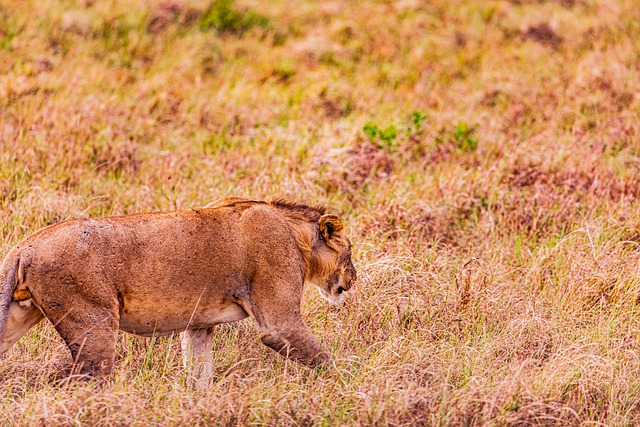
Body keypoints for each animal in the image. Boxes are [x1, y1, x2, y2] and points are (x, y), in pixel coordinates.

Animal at [0, 197, 356, 382]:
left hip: (17, 315)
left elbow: (199, 372)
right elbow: (325, 358)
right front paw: (350, 384)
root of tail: (23, 246)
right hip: (94, 324)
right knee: (88, 381)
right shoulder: (278, 322)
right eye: (350, 252)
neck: (296, 235)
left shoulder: (199, 323)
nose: (353, 279)